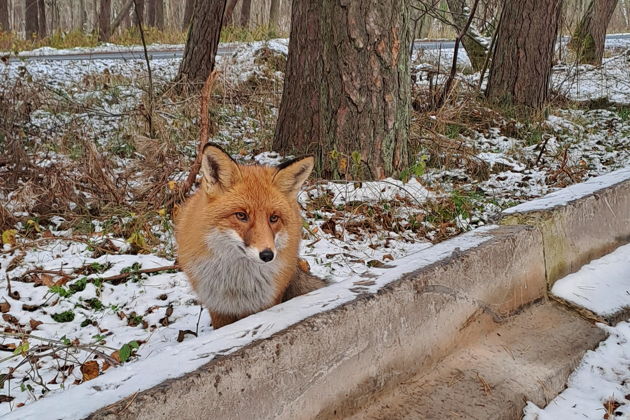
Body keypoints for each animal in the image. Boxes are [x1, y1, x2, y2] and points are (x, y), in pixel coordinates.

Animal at [175, 143, 328, 330]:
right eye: (241, 216)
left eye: (273, 218)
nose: (267, 255)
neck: (237, 284)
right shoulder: (218, 308)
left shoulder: (267, 302)